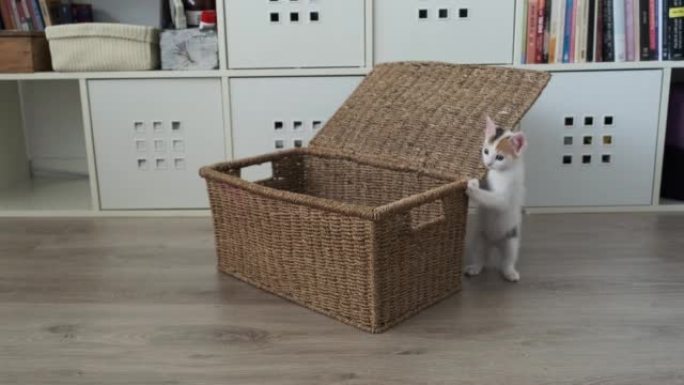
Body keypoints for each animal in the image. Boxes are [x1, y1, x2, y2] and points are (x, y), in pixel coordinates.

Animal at [464, 115, 528, 280]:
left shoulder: (506, 195)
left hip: (511, 239)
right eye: (486, 151)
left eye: (499, 157)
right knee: (480, 256)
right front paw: (475, 182)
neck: (500, 173)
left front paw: (471, 189)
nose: (488, 163)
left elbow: (494, 200)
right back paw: (475, 268)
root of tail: (494, 243)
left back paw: (510, 273)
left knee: (508, 259)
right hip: (480, 239)